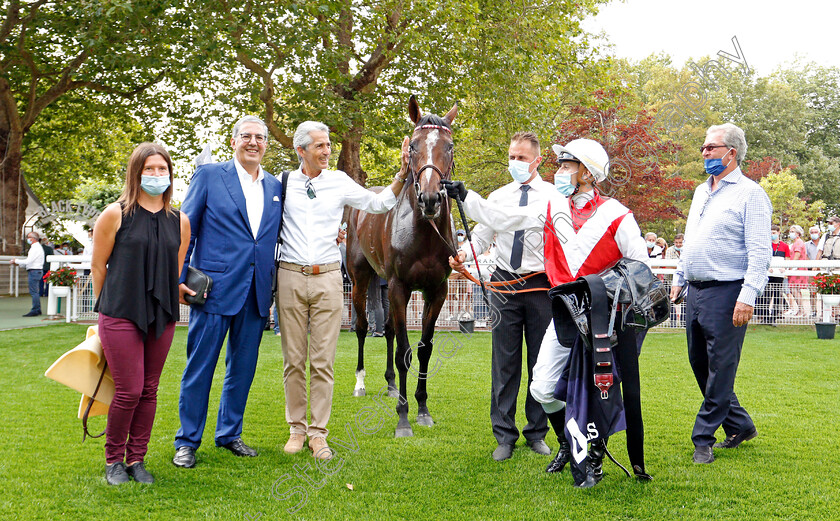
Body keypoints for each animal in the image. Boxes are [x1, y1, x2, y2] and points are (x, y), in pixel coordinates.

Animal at [342, 95, 456, 436]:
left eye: (449, 146)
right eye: (414, 146)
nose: (430, 198)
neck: (424, 233)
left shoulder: (437, 291)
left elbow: (423, 348)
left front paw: (422, 409)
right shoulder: (398, 287)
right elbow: (405, 351)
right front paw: (403, 418)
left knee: (390, 330)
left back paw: (392, 386)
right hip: (361, 279)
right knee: (362, 327)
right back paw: (361, 383)